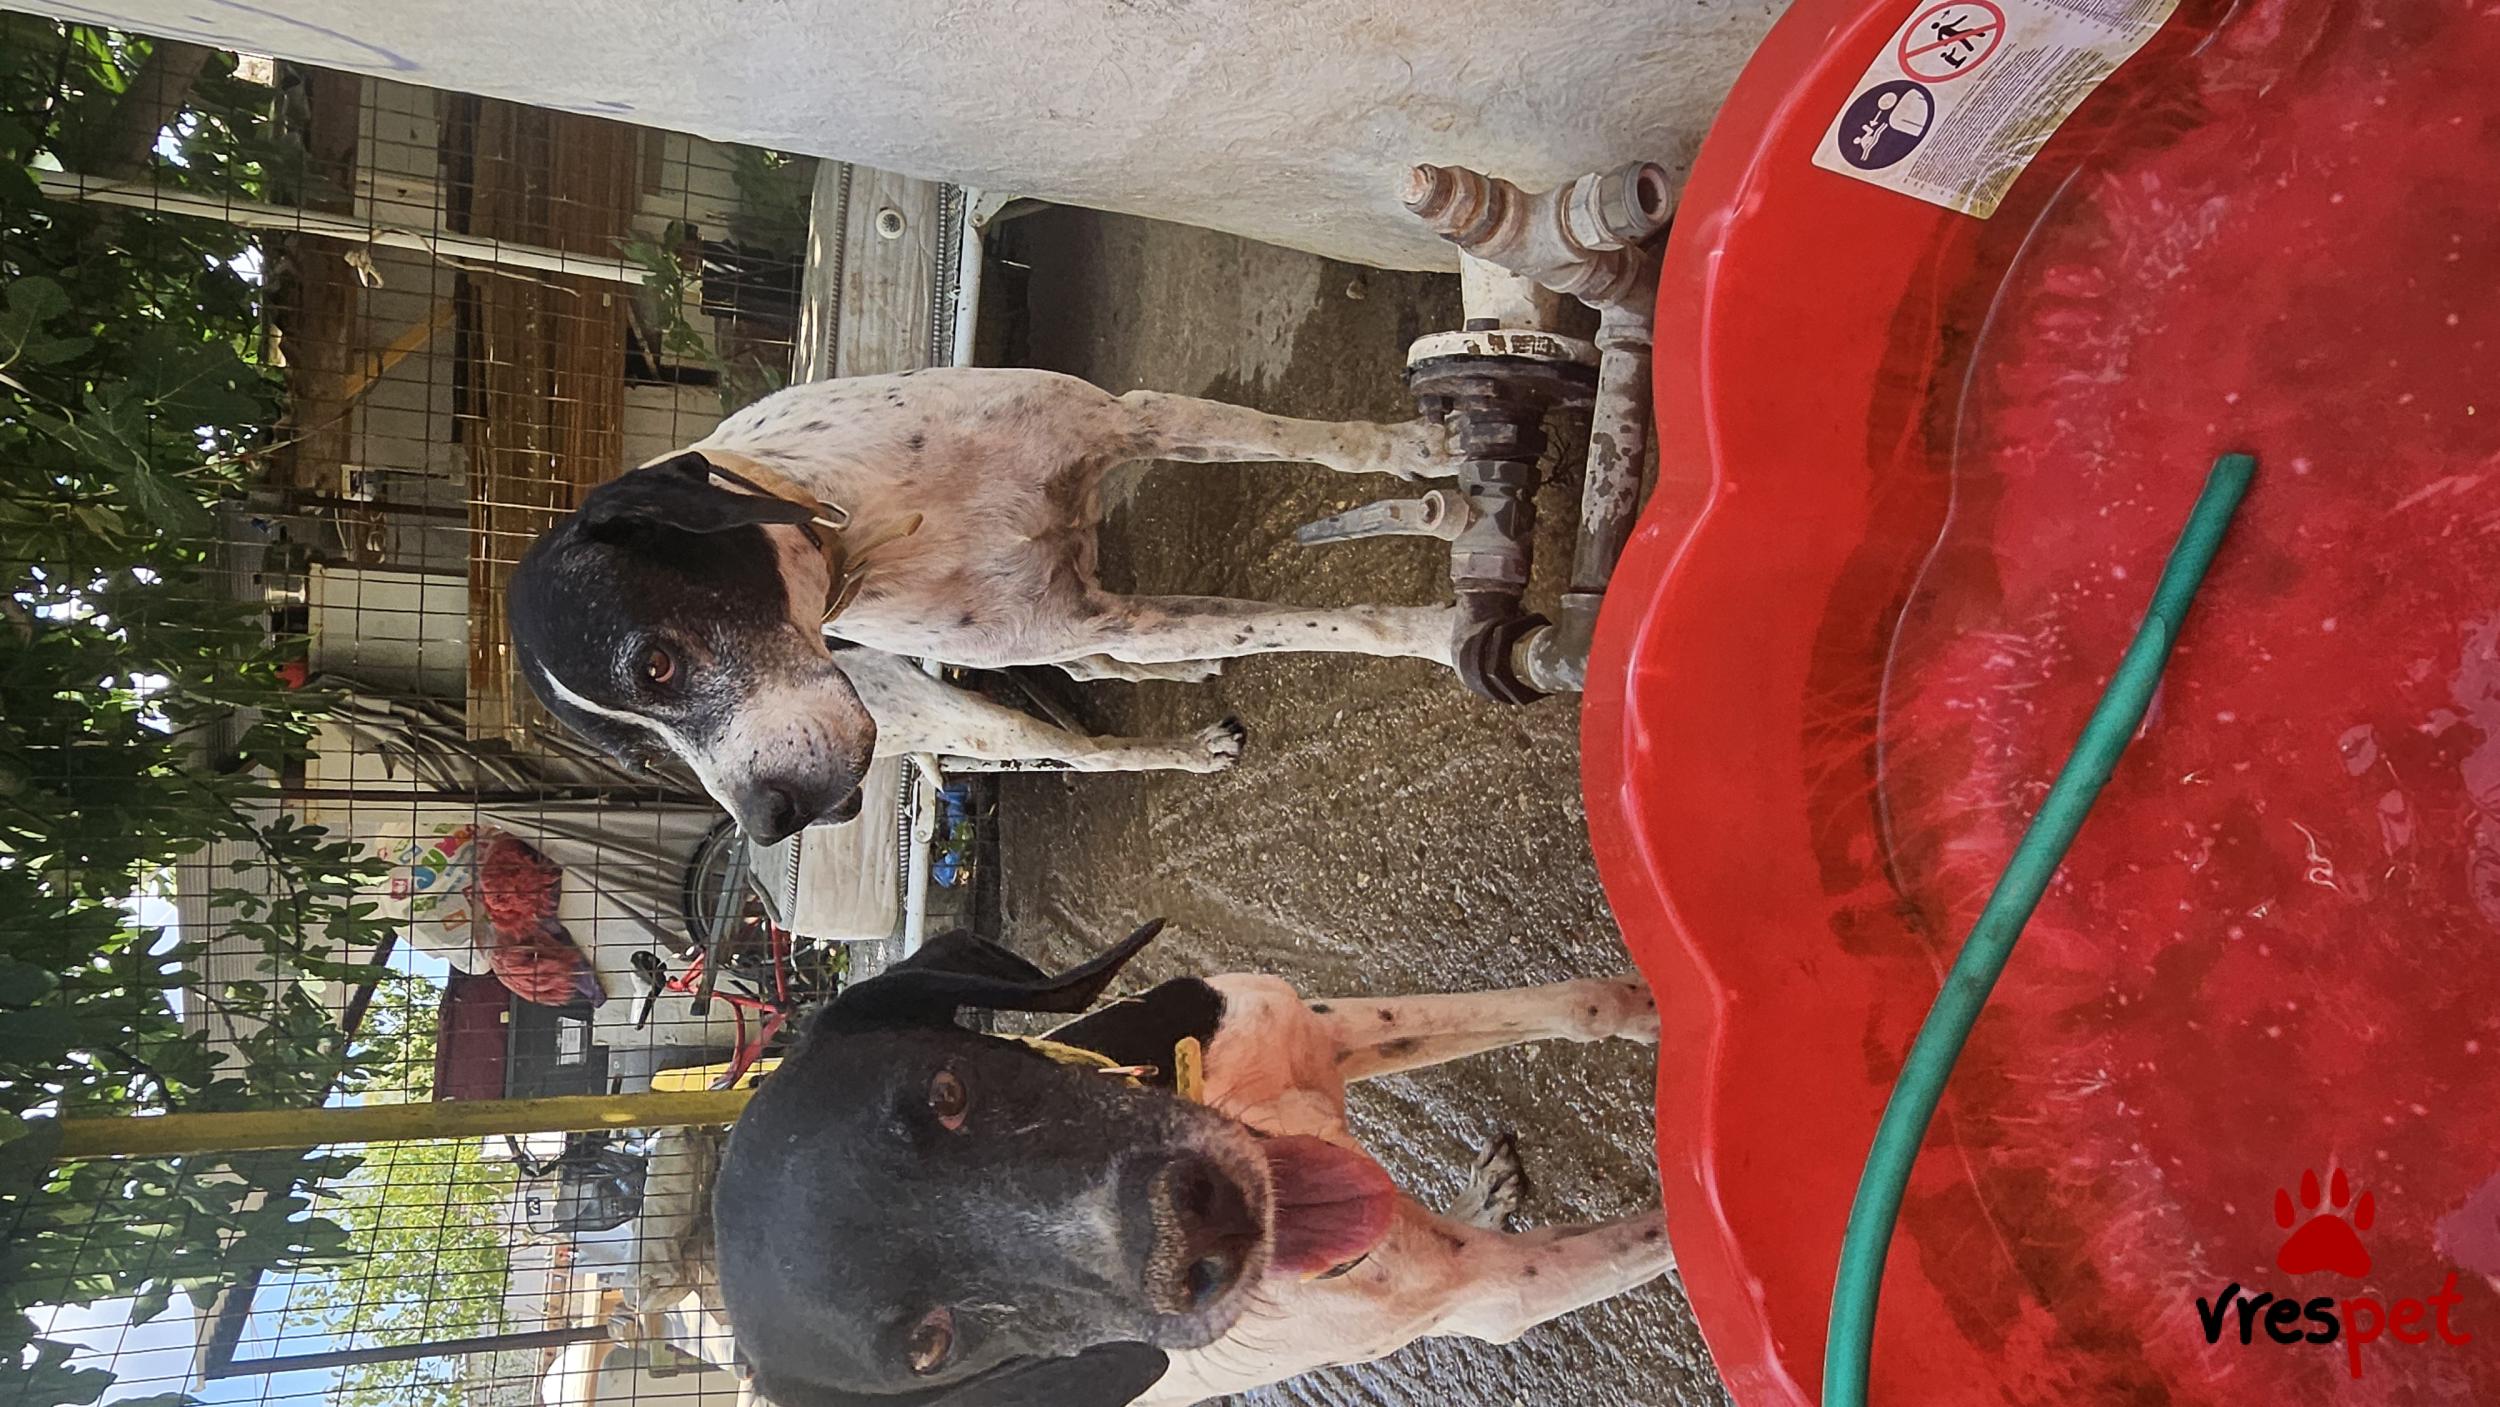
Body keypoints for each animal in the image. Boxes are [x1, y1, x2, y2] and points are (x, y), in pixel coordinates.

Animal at [507, 369, 1463, 841]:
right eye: (643, 763)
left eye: (655, 664)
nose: (771, 823)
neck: (878, 523)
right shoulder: (1088, 614)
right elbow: (1323, 621)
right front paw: (1447, 632)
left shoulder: (1129, 420)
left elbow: (1326, 445)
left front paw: (1421, 446)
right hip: (969, 719)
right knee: (1088, 747)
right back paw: (1190, 745)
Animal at [710, 922, 1672, 1407]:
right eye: (931, 1346)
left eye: (947, 1090)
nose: (1205, 1226)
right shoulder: (1494, 1292)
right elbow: (1672, 1234)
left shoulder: (1314, 1025)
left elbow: (1579, 1002)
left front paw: (1658, 1002)